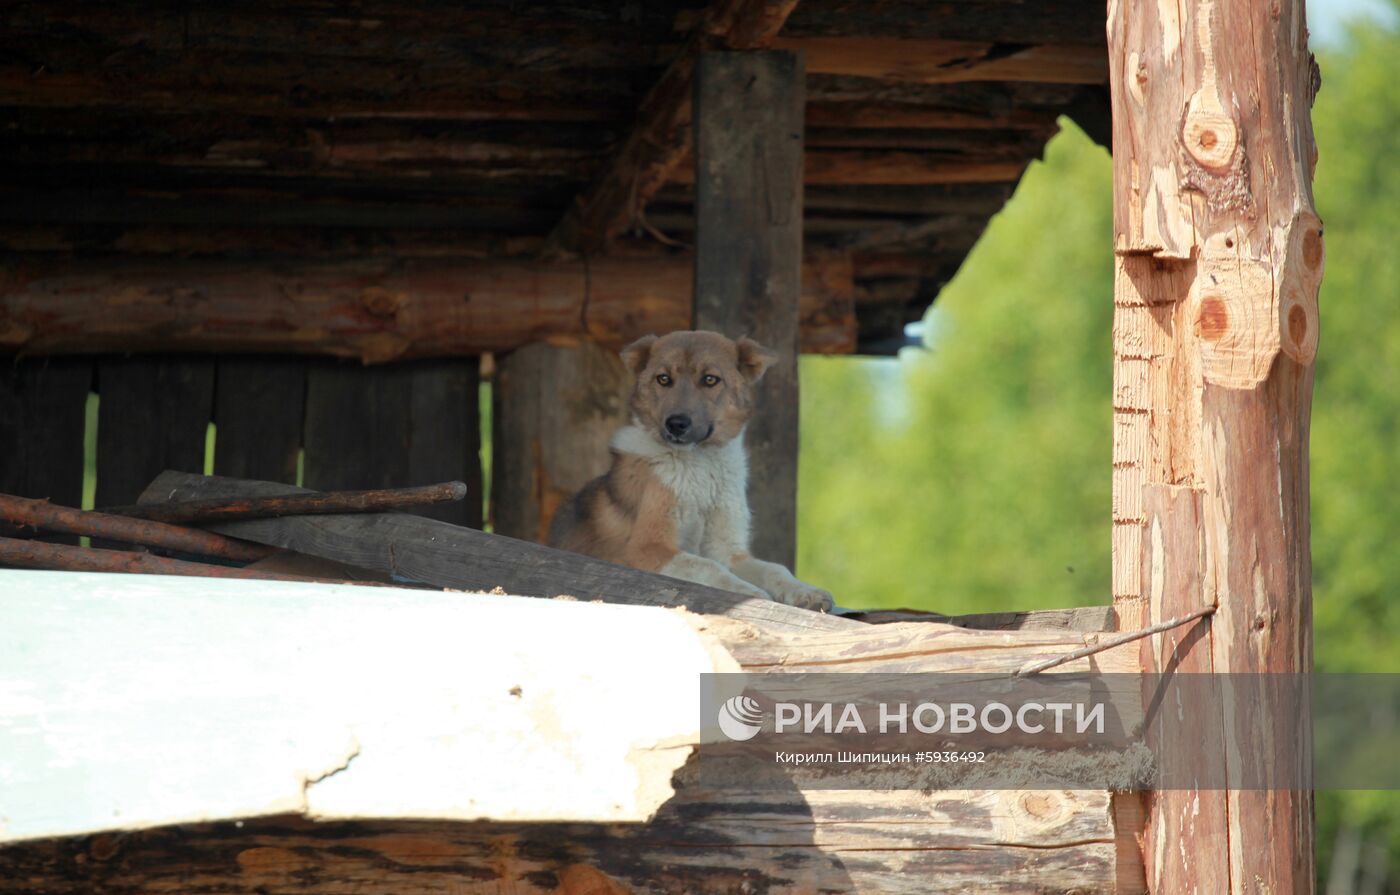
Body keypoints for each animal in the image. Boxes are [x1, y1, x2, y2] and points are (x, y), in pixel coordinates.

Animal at [543, 333, 828, 613]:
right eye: (663, 379)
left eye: (710, 379)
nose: (676, 424)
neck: (702, 470)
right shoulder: (648, 547)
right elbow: (708, 566)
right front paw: (749, 593)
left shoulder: (727, 549)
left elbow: (774, 569)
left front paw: (805, 591)